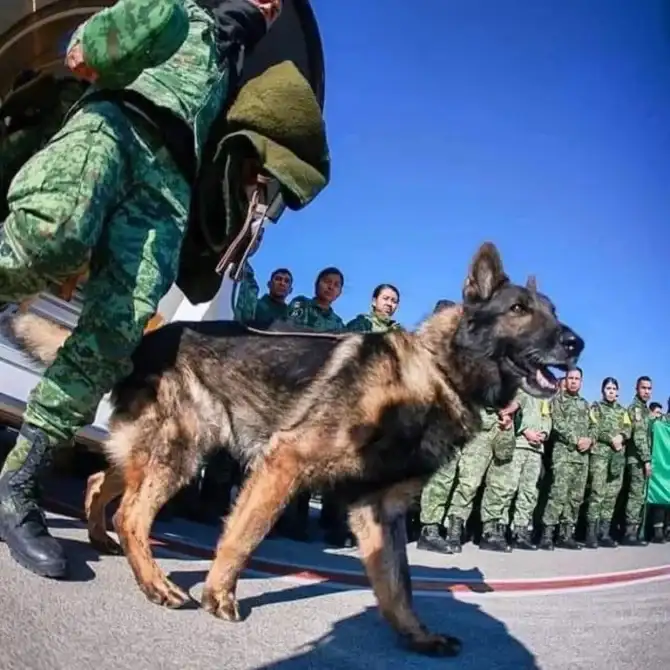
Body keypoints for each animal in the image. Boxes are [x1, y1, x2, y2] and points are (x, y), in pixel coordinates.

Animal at [3, 244, 584, 660]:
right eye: (518, 309)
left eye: (554, 312)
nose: (576, 342)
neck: (437, 371)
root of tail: (146, 340)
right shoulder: (284, 463)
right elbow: (243, 537)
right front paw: (220, 597)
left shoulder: (379, 512)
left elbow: (398, 584)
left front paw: (417, 636)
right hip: (183, 450)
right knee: (133, 513)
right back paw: (155, 583)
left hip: (163, 450)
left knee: (102, 482)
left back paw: (103, 539)